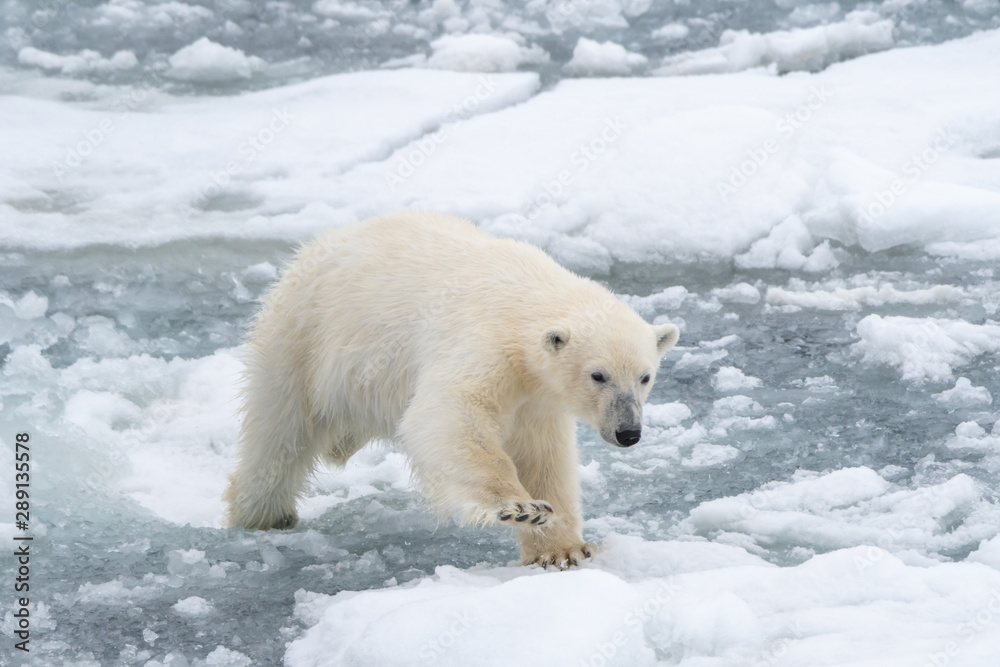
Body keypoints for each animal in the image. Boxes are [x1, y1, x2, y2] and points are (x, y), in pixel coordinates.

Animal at [225, 211, 680, 568]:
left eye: (645, 376)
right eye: (598, 375)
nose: (628, 432)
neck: (524, 300)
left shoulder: (537, 398)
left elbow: (543, 456)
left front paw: (561, 548)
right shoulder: (483, 345)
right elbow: (452, 415)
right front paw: (520, 507)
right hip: (304, 335)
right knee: (279, 431)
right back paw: (264, 513)